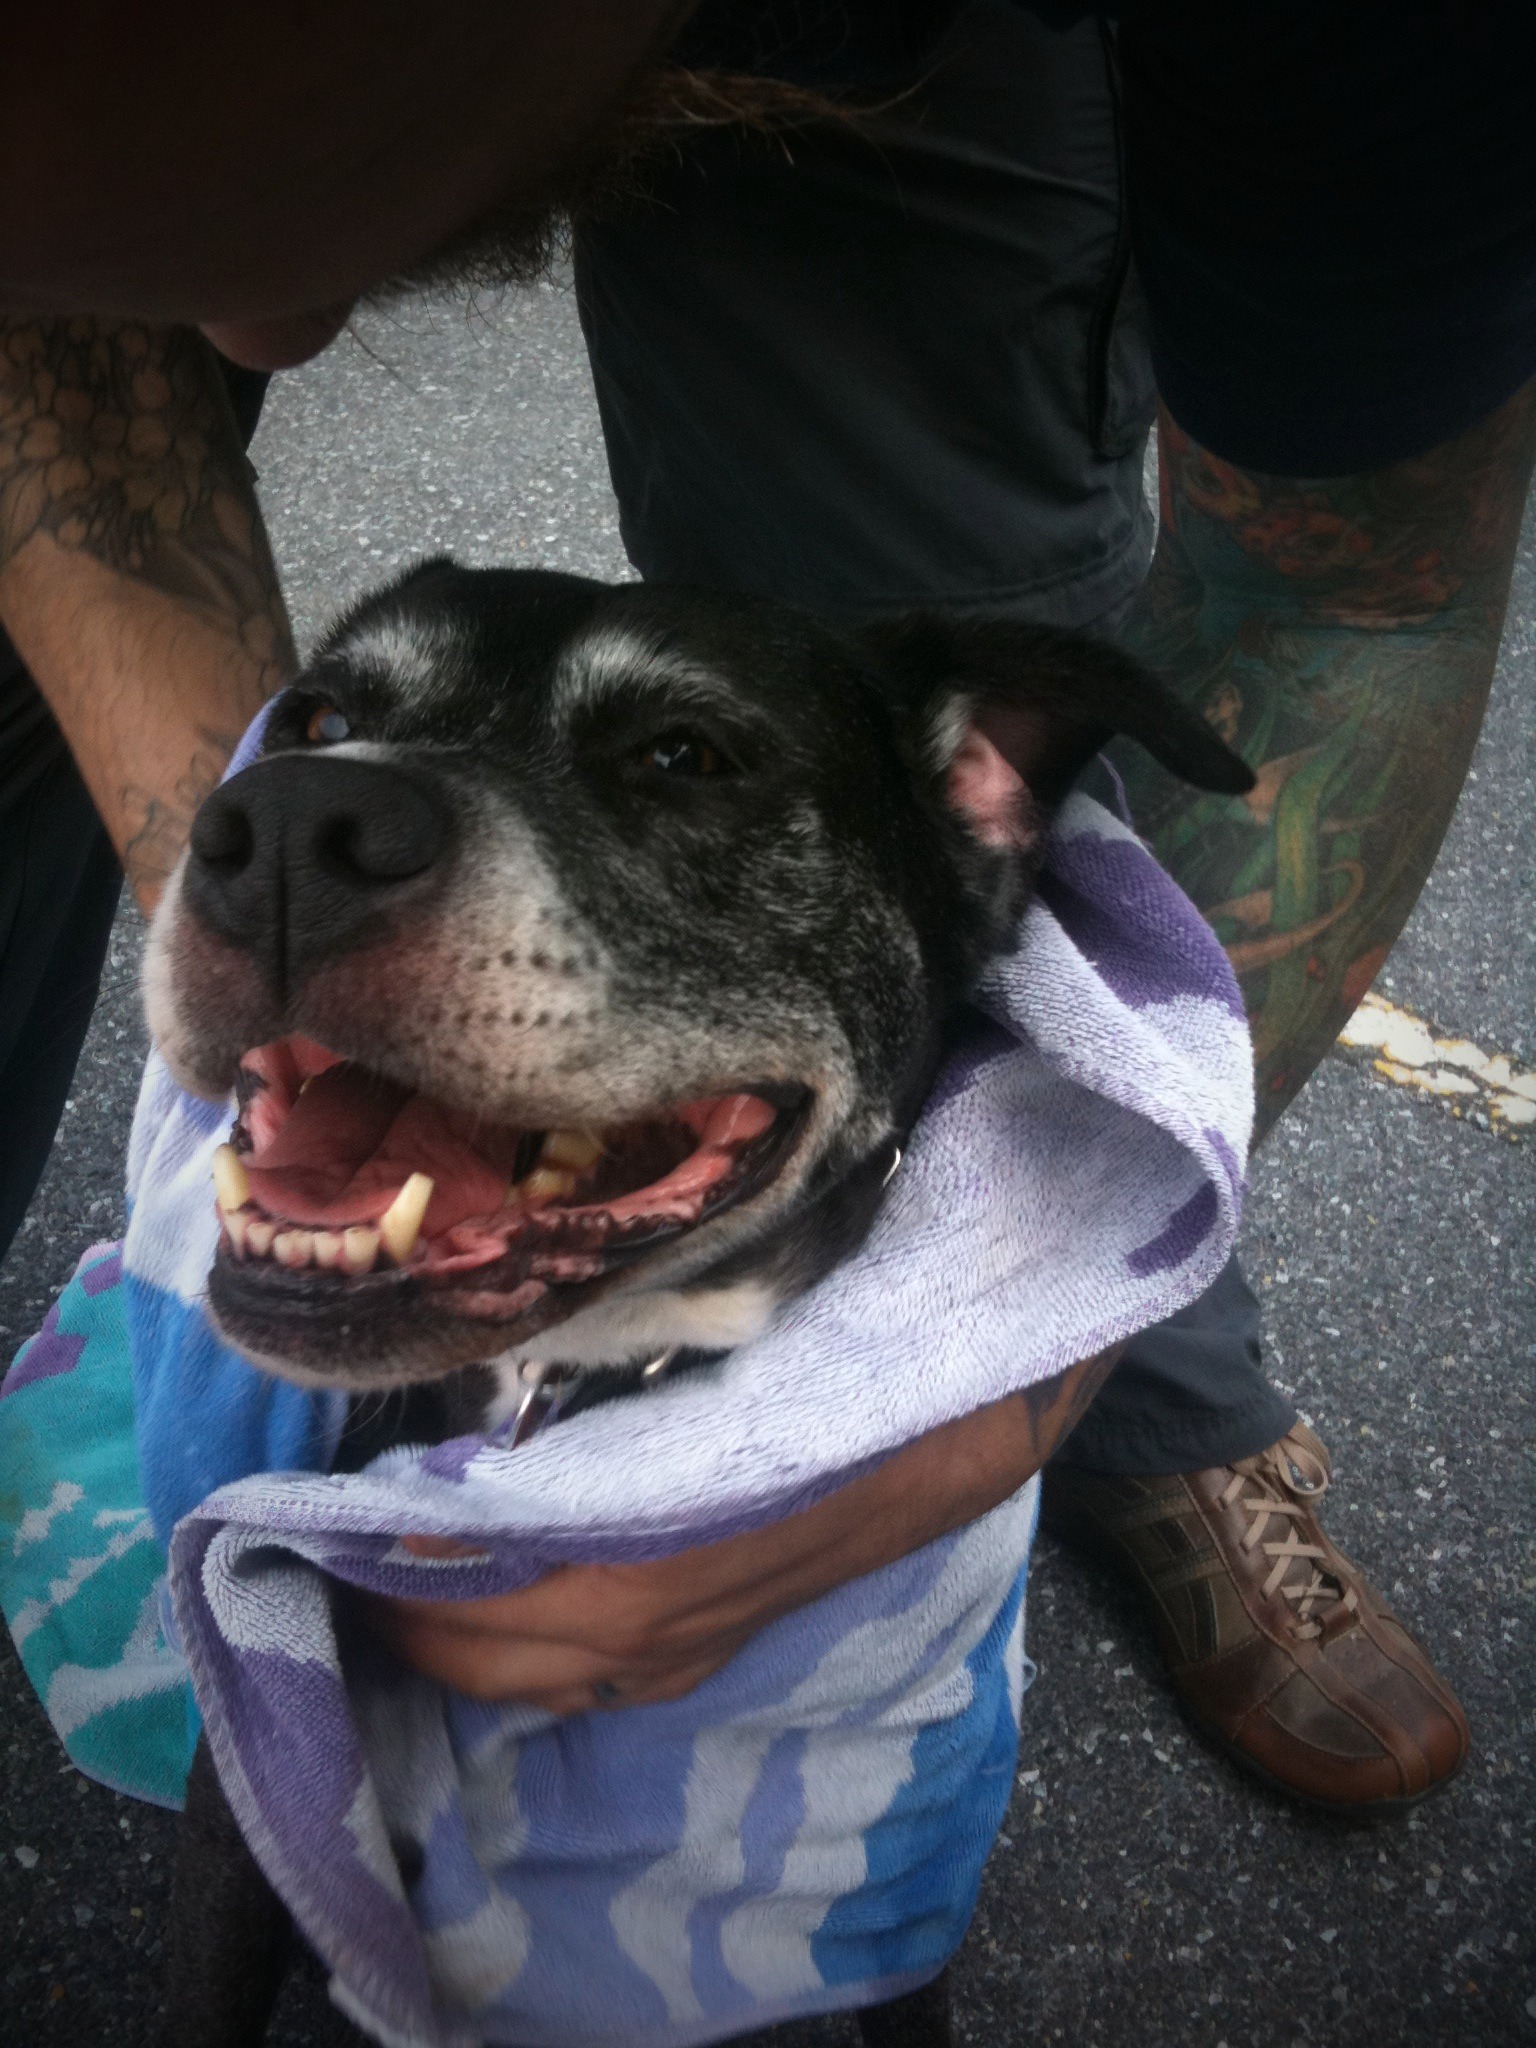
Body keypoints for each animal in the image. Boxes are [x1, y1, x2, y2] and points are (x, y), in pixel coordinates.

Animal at [144, 565, 1253, 2048]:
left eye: (688, 757)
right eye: (313, 716)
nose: (283, 826)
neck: (565, 1391)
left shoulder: (881, 1909)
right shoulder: (246, 1829)